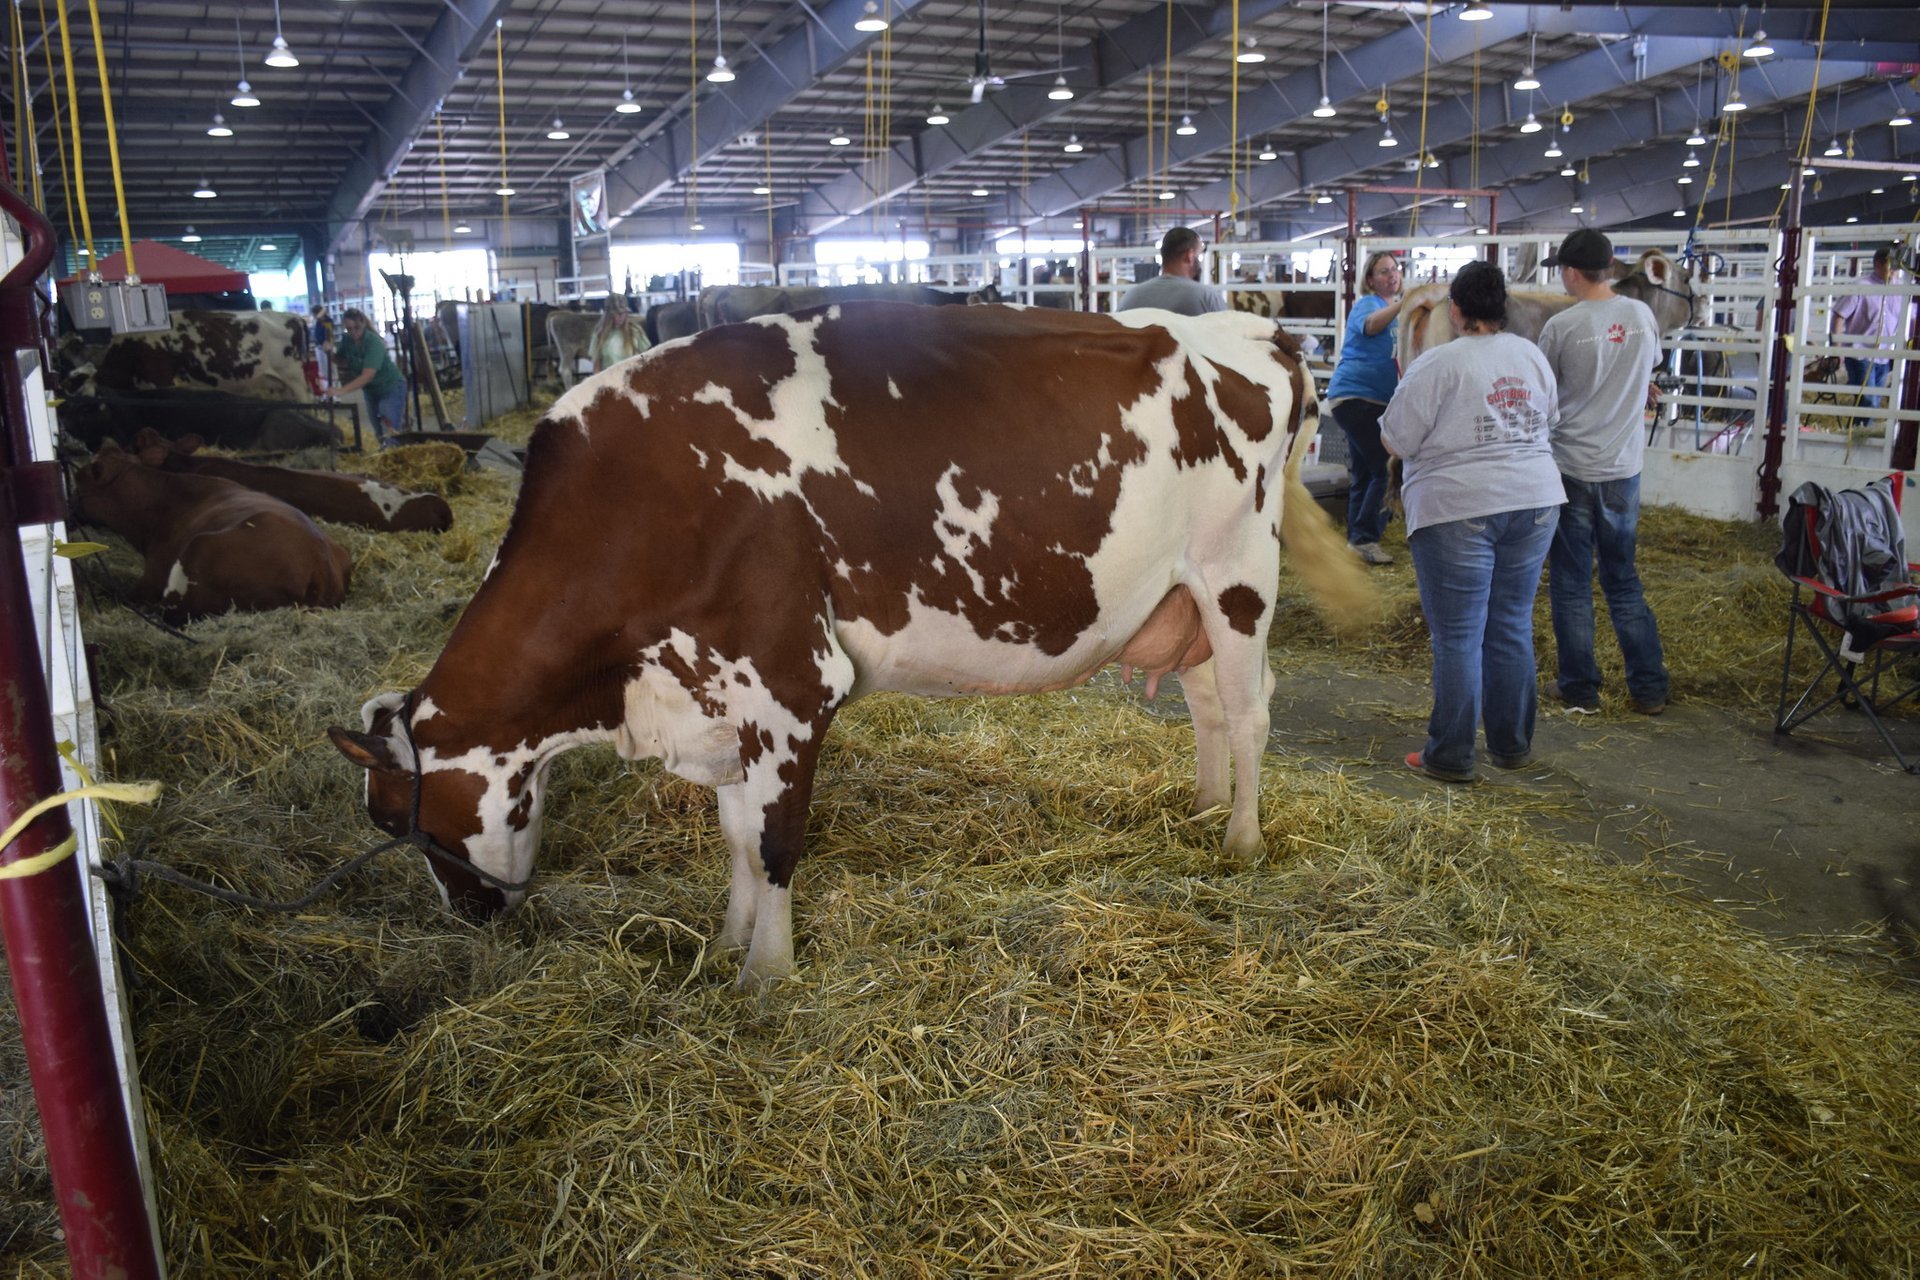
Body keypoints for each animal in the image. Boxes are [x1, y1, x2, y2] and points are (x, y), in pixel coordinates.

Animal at [334, 305, 1382, 990]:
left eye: (394, 818)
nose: (473, 918)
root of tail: (1252, 329)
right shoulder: (722, 698)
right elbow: (738, 838)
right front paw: (729, 945)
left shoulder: (792, 683)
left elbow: (775, 843)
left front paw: (769, 980)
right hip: (1183, 598)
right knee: (1207, 706)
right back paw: (1202, 812)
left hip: (1238, 576)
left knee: (1248, 712)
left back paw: (1242, 840)